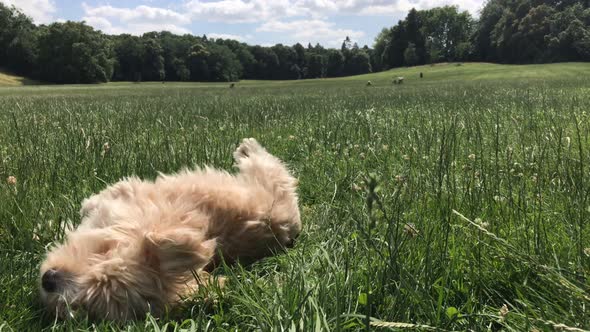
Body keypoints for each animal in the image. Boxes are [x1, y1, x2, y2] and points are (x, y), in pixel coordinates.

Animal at [39, 137, 302, 320]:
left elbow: (102, 198)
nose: (48, 281)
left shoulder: (130, 192)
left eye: (91, 302)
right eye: (104, 251)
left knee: (272, 168)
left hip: (268, 183)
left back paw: (249, 149)